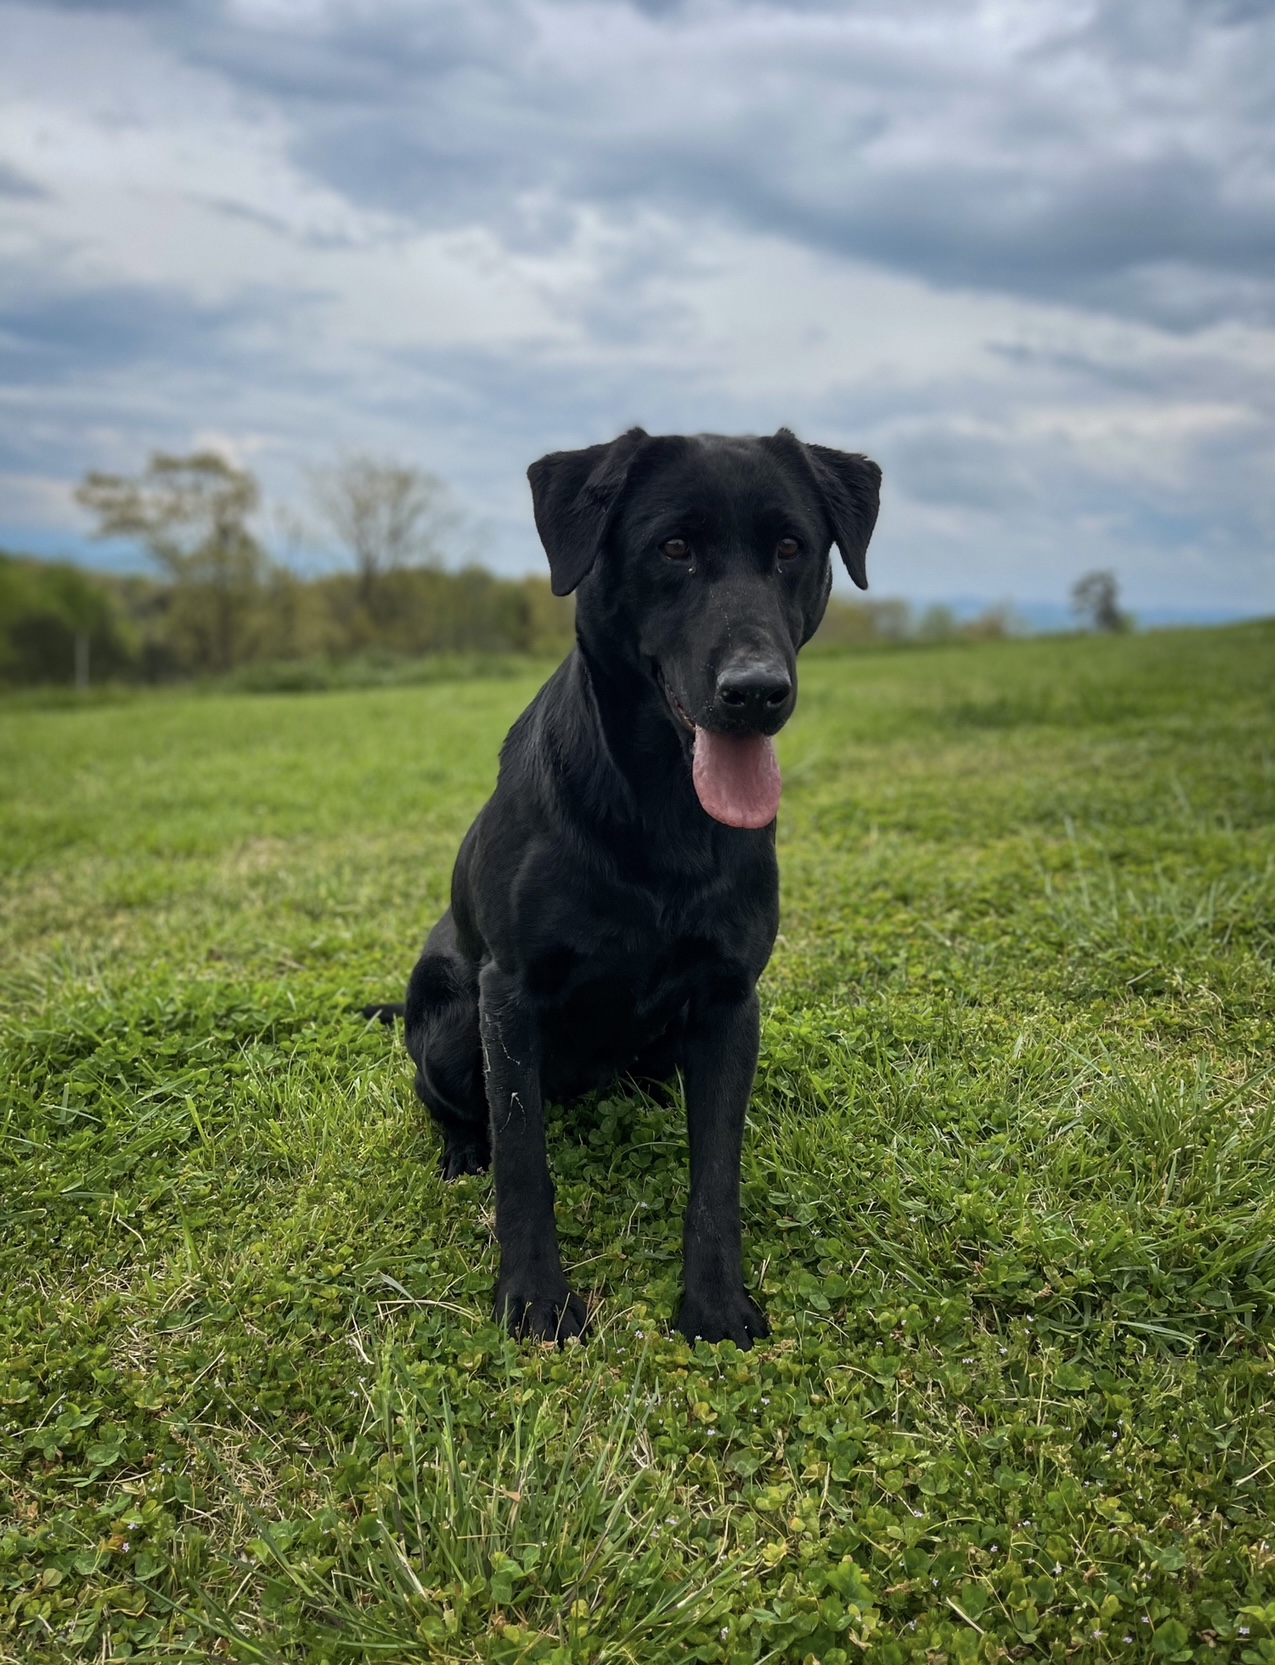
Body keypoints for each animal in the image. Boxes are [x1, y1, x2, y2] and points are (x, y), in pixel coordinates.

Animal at [364, 429, 885, 1351]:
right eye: (672, 548)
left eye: (790, 548)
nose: (756, 692)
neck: (662, 807)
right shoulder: (510, 996)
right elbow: (524, 1164)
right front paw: (534, 1299)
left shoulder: (729, 1000)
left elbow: (716, 1172)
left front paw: (713, 1304)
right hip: (453, 1021)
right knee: (455, 1102)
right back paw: (462, 1150)